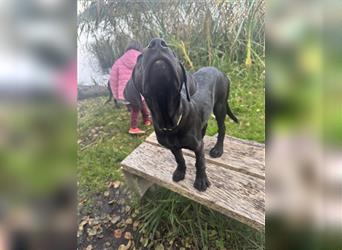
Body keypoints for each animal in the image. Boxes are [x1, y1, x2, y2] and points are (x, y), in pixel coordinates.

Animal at [128, 37, 238, 191]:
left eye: (174, 54)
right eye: (139, 57)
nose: (157, 43)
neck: (170, 120)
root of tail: (220, 71)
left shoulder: (198, 147)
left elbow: (200, 162)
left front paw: (201, 181)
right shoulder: (172, 146)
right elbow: (179, 159)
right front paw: (180, 172)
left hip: (220, 106)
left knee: (222, 129)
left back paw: (218, 149)